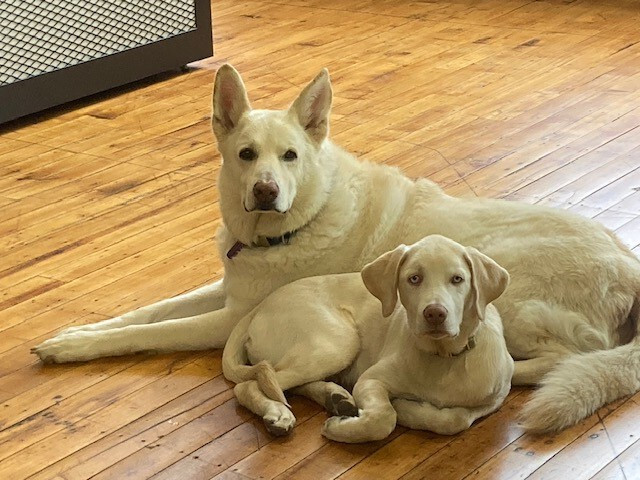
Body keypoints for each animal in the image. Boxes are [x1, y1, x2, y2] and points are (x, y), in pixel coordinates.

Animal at [222, 234, 512, 440]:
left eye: (457, 279)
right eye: (414, 279)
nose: (435, 314)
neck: (442, 356)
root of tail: (259, 306)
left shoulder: (496, 396)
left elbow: (457, 419)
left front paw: (412, 410)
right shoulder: (371, 380)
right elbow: (383, 419)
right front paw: (343, 428)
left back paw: (334, 397)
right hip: (338, 341)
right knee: (253, 383)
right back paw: (279, 414)